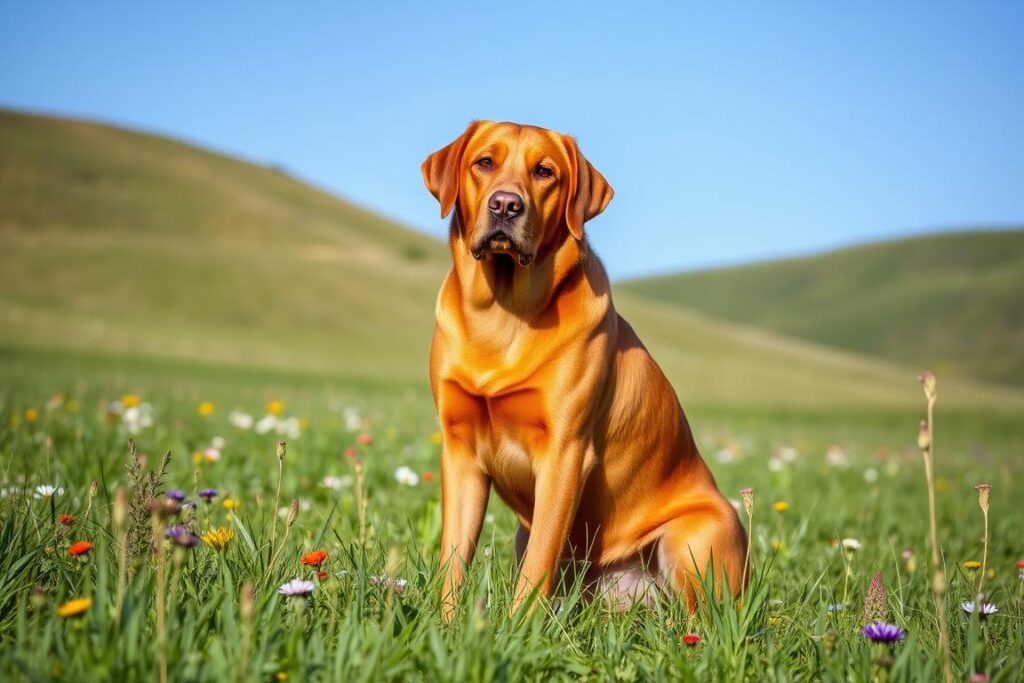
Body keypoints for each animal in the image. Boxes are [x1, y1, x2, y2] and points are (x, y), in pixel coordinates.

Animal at [419, 120, 749, 622]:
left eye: (544, 171)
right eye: (484, 162)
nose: (505, 205)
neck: (503, 315)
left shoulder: (564, 453)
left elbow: (538, 565)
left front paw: (517, 630)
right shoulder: (460, 452)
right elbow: (453, 559)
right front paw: (447, 626)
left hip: (693, 537)